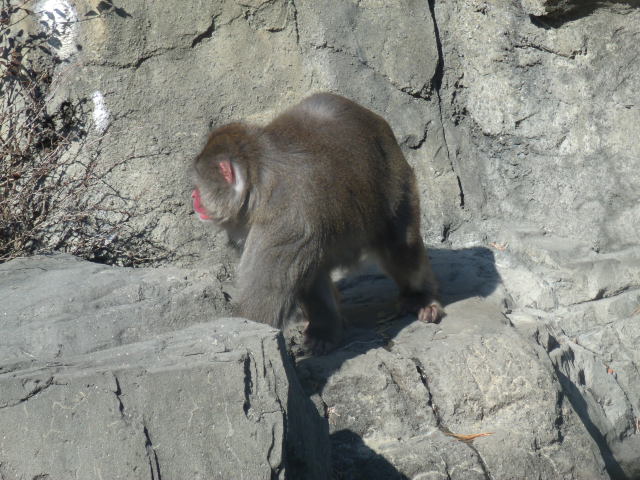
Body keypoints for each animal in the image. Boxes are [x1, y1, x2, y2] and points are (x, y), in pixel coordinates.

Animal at [191, 92, 443, 354]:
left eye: (198, 185)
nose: (194, 197)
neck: (258, 184)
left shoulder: (287, 221)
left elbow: (263, 304)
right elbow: (309, 278)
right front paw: (324, 329)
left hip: (397, 180)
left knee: (401, 247)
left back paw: (420, 297)